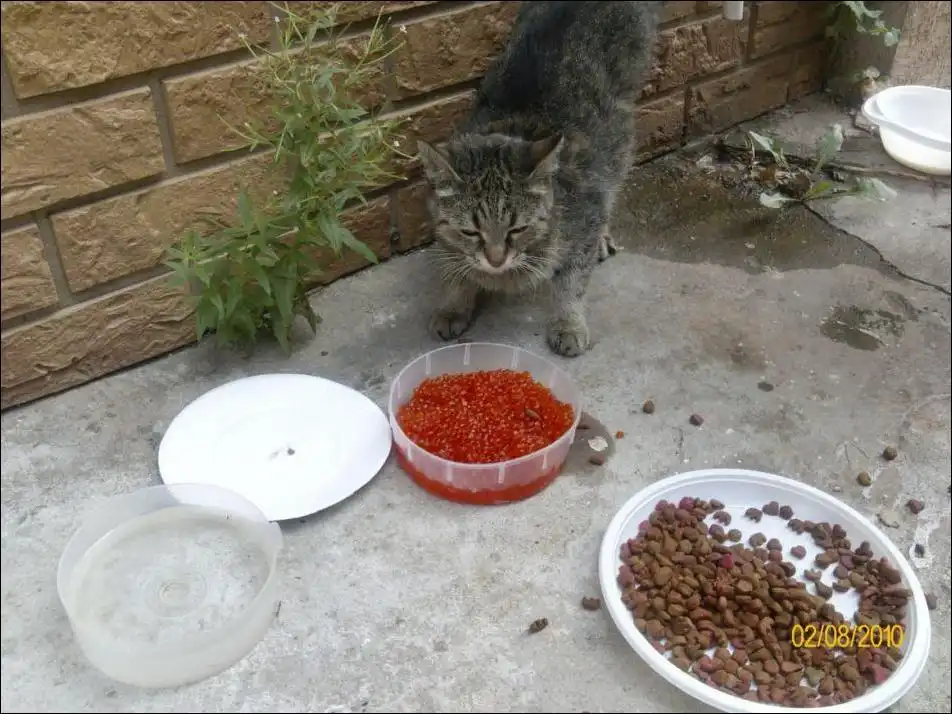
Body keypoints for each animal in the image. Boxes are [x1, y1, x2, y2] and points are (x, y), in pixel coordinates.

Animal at [416, 0, 664, 357]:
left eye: (517, 229)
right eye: (471, 231)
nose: (495, 260)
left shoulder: (584, 213)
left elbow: (571, 280)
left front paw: (568, 323)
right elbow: (453, 266)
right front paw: (453, 304)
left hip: (618, 139)